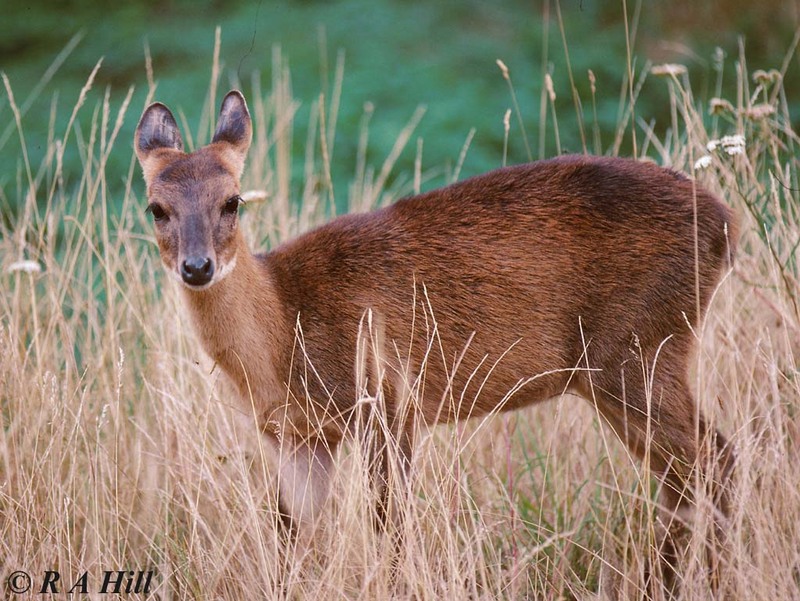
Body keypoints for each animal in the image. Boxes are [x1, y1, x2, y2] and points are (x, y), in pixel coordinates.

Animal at [134, 91, 736, 568]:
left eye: (232, 201)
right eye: (155, 208)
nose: (197, 266)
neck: (284, 327)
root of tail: (726, 224)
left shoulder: (388, 399)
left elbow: (390, 530)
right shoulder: (298, 438)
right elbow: (289, 540)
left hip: (638, 350)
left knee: (714, 463)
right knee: (688, 479)